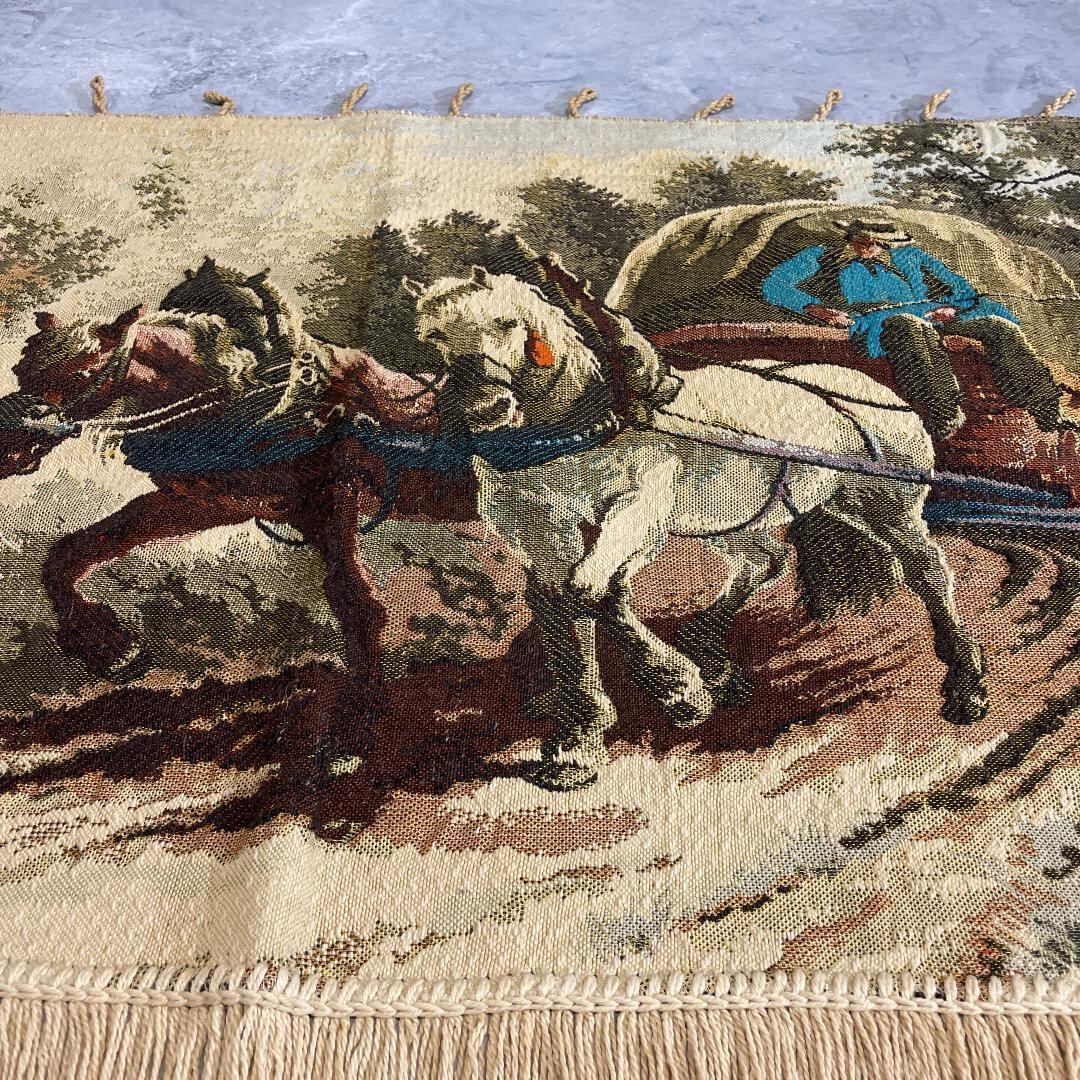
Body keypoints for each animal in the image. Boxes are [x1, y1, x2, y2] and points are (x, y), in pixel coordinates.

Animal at [0, 289, 476, 732]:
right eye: (22, 370)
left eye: (82, 373)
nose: (10, 445)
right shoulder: (205, 503)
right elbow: (69, 554)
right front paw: (110, 647)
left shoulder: (331, 494)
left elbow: (353, 597)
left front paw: (356, 717)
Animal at [406, 265, 990, 791]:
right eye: (432, 336)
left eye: (507, 321)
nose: (485, 408)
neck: (578, 428)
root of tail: (876, 393)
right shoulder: (542, 535)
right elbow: (569, 603)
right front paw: (586, 729)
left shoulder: (639, 510)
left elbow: (587, 593)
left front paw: (674, 693)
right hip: (740, 517)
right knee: (763, 562)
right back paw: (711, 655)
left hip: (888, 506)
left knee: (929, 573)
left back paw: (966, 684)